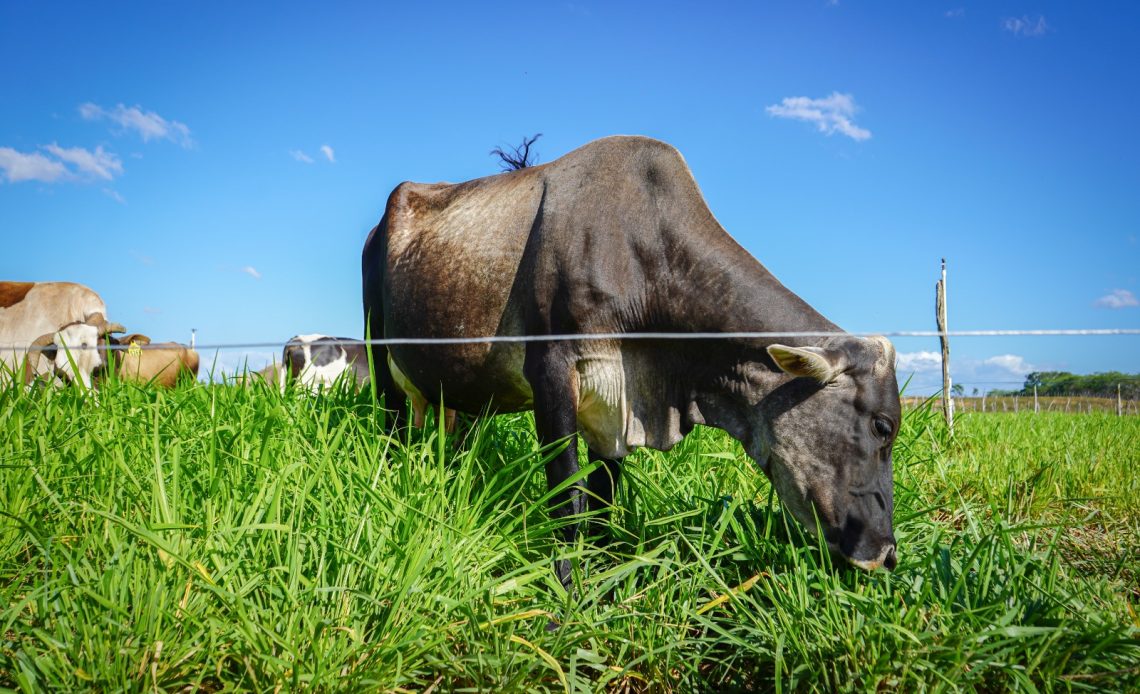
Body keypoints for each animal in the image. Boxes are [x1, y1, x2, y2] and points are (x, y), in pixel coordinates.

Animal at [360, 133, 902, 583]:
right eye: (882, 427)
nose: (888, 552)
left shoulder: (616, 402)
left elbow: (603, 498)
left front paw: (601, 578)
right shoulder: (551, 372)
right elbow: (570, 498)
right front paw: (566, 590)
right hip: (378, 350)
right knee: (392, 428)